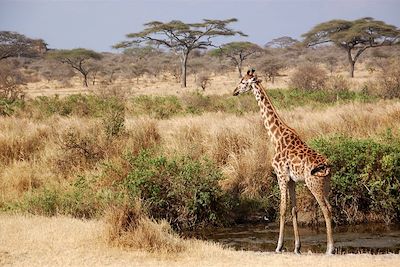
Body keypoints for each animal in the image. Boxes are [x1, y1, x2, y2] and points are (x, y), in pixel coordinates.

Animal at [233, 69, 332, 255]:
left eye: (243, 82)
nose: (234, 91)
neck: (276, 137)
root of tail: (328, 167)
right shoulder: (292, 180)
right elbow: (293, 210)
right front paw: (297, 247)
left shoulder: (280, 176)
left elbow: (282, 209)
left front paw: (279, 246)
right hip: (325, 185)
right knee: (331, 207)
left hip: (313, 183)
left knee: (326, 209)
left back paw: (330, 249)